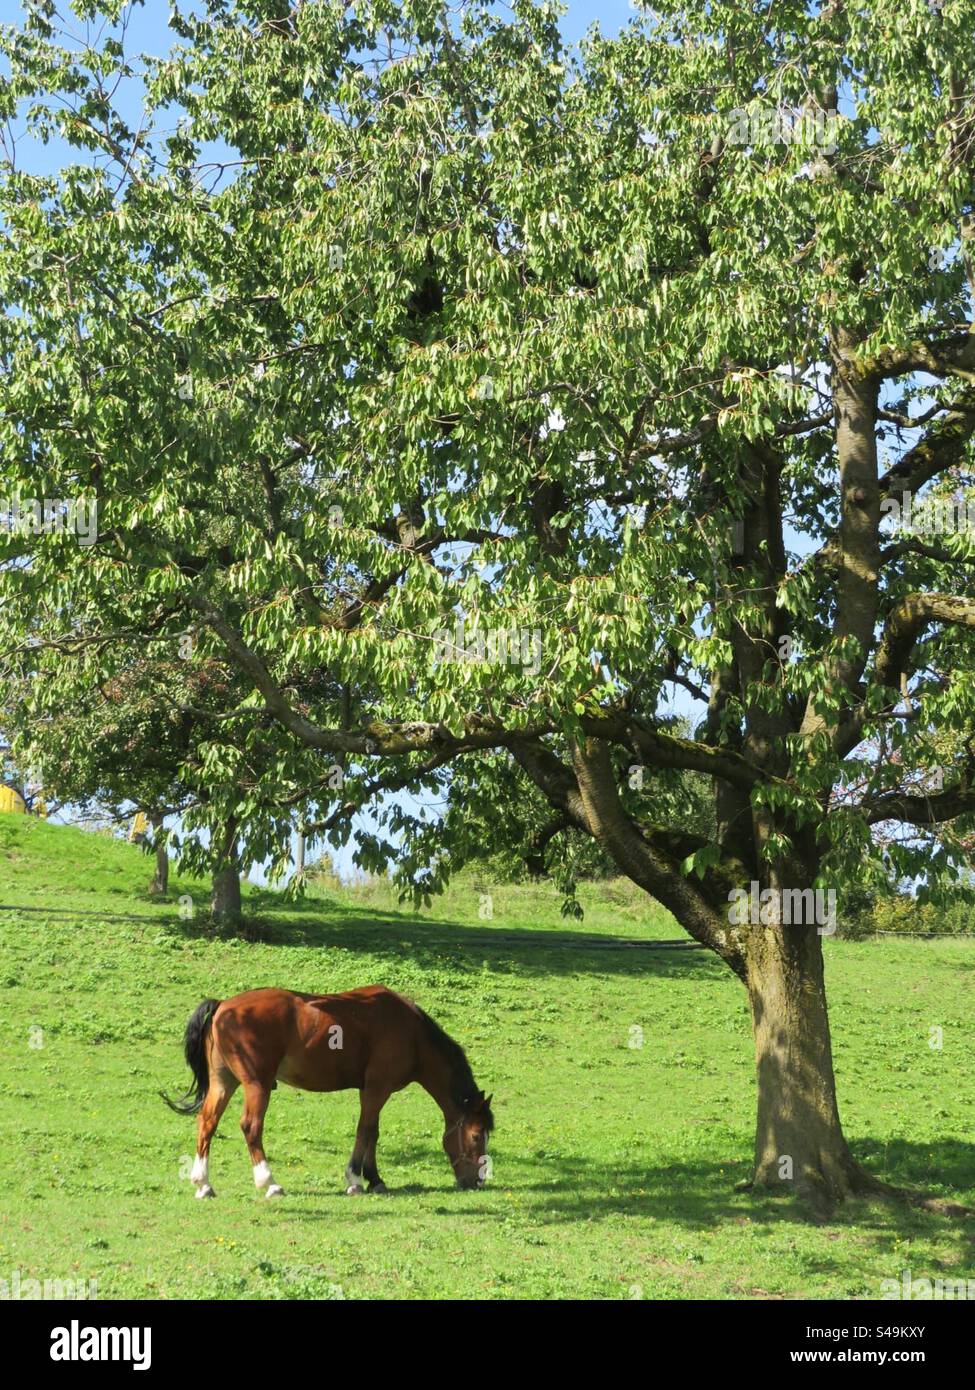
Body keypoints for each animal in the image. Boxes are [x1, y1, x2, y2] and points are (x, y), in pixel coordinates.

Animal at [161, 986, 494, 1198]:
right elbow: (365, 1130)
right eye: (476, 1135)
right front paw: (355, 1179)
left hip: (224, 1082)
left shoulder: (372, 1090)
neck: (411, 1033)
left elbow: (372, 1133)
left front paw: (374, 1179)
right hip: (257, 1085)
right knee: (251, 1127)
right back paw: (269, 1182)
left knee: (207, 1122)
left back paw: (203, 1184)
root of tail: (224, 1006)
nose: (476, 1182)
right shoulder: (377, 1089)